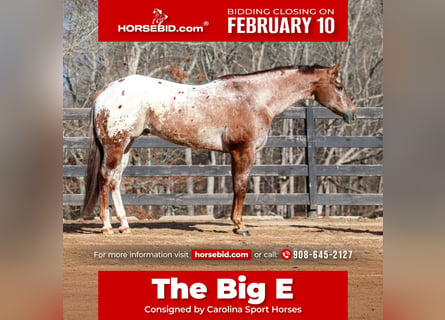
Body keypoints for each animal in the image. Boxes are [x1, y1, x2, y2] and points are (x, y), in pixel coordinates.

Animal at [81, 62, 356, 235]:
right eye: (339, 86)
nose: (352, 114)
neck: (253, 98)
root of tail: (107, 91)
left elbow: (237, 187)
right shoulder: (243, 152)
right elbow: (240, 187)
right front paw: (239, 226)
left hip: (126, 146)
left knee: (115, 181)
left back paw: (124, 225)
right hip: (115, 146)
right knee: (105, 179)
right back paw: (107, 227)